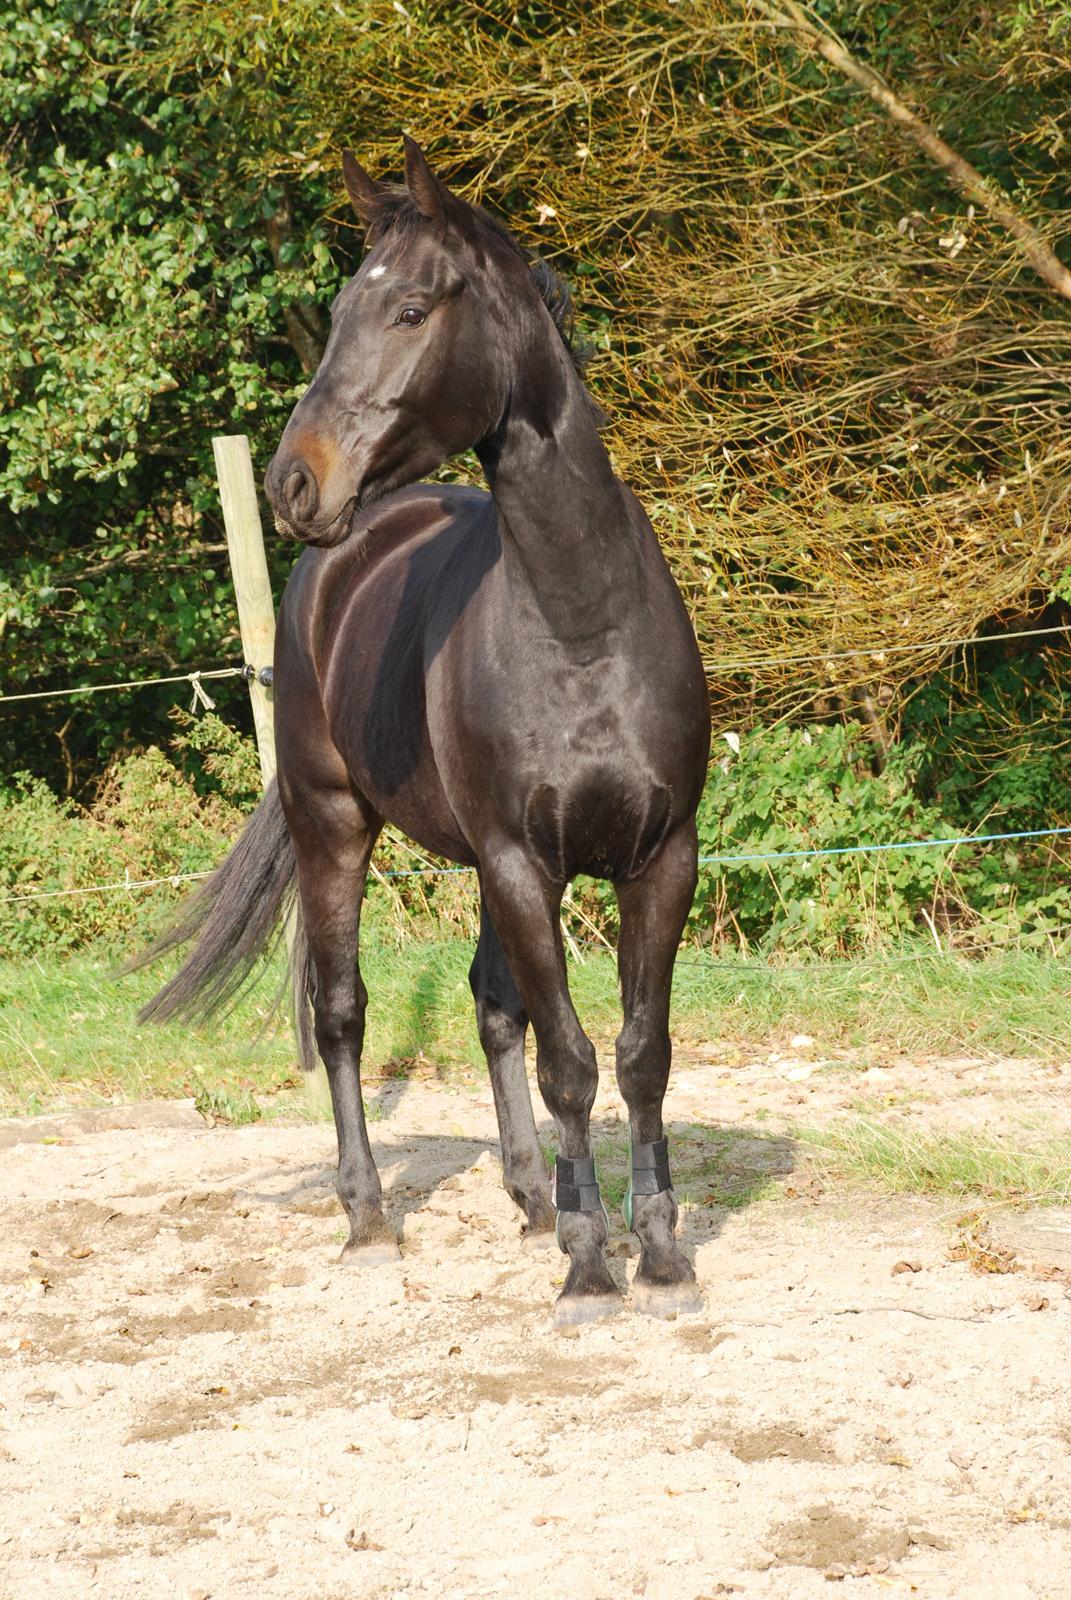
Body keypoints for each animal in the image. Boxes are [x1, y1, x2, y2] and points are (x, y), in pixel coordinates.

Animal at [144, 137, 710, 1318]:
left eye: (408, 309)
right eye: (337, 310)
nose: (295, 480)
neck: (582, 621)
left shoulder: (658, 857)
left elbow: (638, 1053)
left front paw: (659, 1253)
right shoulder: (519, 862)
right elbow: (570, 1062)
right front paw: (592, 1268)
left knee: (493, 1006)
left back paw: (534, 1196)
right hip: (336, 827)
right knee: (344, 1012)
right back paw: (369, 1220)